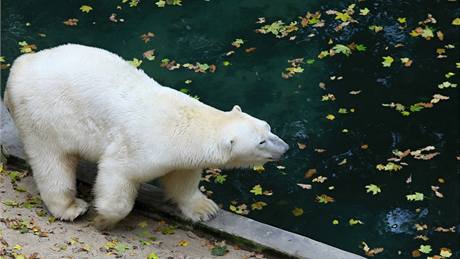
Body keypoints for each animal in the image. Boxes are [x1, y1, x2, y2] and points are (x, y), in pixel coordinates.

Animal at [4, 43, 288, 231]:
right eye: (261, 141)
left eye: (268, 127)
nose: (284, 148)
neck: (185, 123)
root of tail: (19, 66)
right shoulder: (142, 147)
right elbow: (117, 175)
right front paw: (103, 220)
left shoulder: (182, 156)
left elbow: (182, 180)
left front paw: (205, 209)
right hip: (46, 117)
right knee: (52, 162)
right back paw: (72, 207)